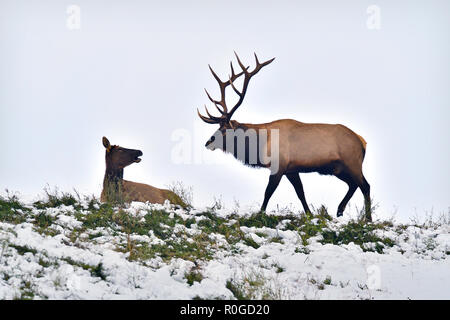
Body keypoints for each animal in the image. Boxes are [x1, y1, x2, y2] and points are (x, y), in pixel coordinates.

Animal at [198, 53, 372, 221]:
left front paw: (260, 214)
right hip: (337, 169)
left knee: (365, 186)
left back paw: (367, 219)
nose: (208, 142)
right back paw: (339, 210)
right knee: (353, 185)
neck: (261, 144)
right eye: (218, 127)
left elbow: (268, 192)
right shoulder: (291, 170)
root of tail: (362, 142)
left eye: (225, 129)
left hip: (352, 162)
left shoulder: (279, 165)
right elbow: (300, 192)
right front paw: (309, 214)